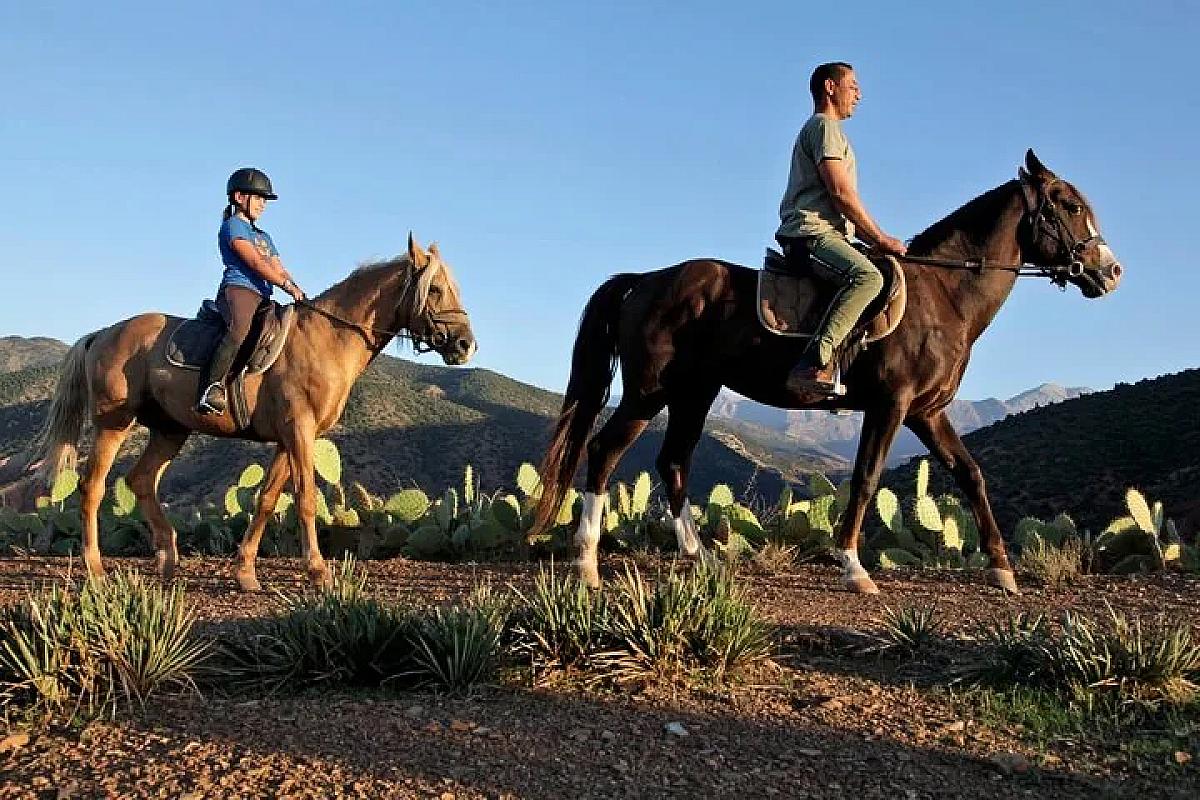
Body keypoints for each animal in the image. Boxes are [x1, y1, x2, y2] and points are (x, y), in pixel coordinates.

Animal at [15, 235, 475, 590]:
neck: (326, 337)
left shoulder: (291, 438)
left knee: (140, 480)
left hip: (170, 430)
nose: (465, 345)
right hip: (114, 424)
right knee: (92, 487)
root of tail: (103, 334)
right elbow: (305, 499)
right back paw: (95, 568)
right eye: (435, 290)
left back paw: (168, 558)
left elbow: (267, 500)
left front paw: (245, 572)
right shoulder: (299, 431)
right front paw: (318, 572)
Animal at [533, 150, 1122, 594]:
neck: (943, 296)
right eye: (1070, 205)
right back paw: (587, 564)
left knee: (673, 461)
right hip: (649, 392)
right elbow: (865, 479)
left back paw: (701, 557)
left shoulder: (928, 412)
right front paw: (854, 569)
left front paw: (1002, 571)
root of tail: (646, 280)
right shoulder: (891, 405)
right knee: (605, 450)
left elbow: (970, 474)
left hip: (694, 393)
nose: (1111, 271)